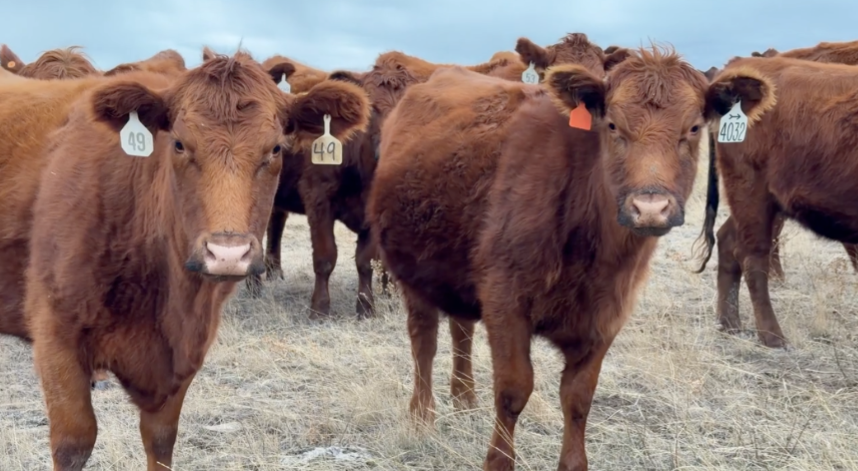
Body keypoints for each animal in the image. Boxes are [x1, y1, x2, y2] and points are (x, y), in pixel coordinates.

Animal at [15, 50, 369, 470]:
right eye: (180, 144)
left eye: (276, 149)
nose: (227, 254)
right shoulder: (56, 335)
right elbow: (73, 442)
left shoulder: (184, 350)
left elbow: (162, 440)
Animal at [366, 45, 743, 470]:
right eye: (612, 125)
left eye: (693, 128)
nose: (650, 208)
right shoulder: (505, 302)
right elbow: (513, 391)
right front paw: (498, 461)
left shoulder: (606, 317)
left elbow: (578, 398)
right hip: (413, 273)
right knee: (424, 342)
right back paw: (421, 415)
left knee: (461, 330)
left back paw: (465, 400)